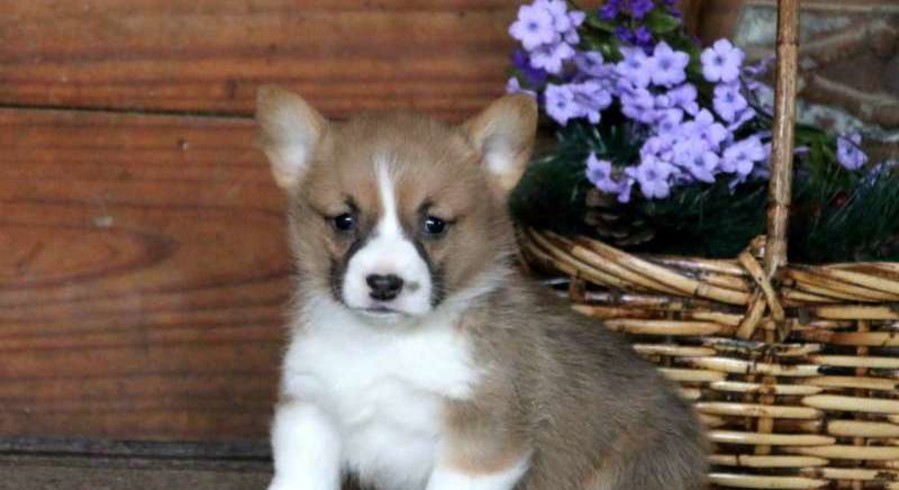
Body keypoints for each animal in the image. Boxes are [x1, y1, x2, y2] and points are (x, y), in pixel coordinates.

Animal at [256, 85, 708, 490]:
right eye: (343, 220)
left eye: (435, 224)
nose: (384, 284)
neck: (386, 344)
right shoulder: (309, 411)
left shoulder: (483, 441)